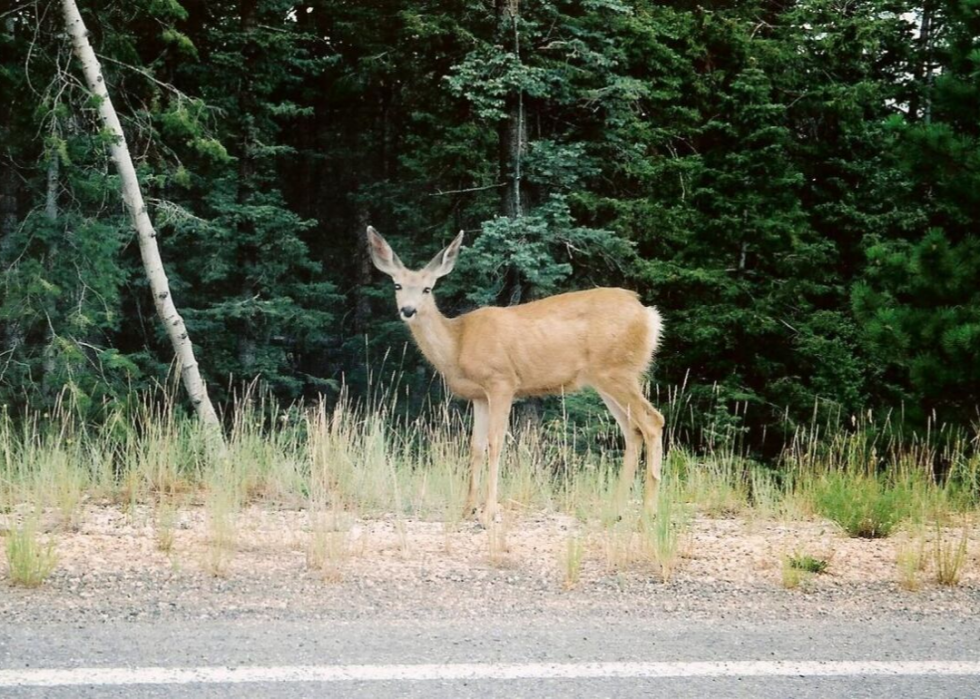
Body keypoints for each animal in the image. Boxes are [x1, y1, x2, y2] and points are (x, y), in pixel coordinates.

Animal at [368, 227, 668, 524]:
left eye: (427, 288)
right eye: (397, 285)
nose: (408, 310)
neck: (457, 344)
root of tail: (649, 316)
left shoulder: (502, 381)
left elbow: (496, 443)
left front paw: (489, 512)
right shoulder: (478, 396)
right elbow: (476, 446)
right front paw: (467, 509)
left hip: (617, 371)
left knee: (653, 421)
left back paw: (649, 512)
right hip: (606, 379)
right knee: (632, 431)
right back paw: (615, 511)